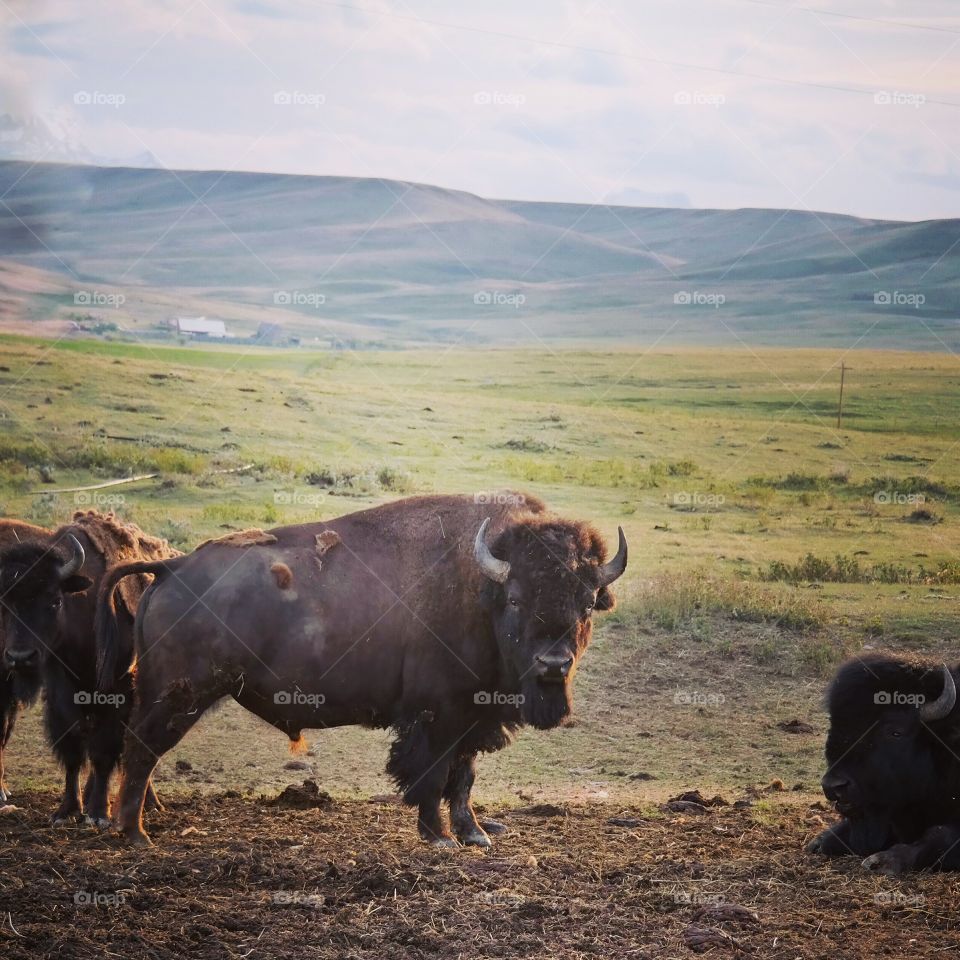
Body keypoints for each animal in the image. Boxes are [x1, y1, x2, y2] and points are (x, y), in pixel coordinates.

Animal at [0, 511, 177, 825]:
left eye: (55, 600)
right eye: (4, 602)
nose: (20, 657)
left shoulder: (116, 693)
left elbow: (104, 751)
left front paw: (98, 813)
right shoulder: (61, 694)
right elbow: (72, 749)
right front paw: (67, 809)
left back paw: (149, 803)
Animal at [96, 492, 627, 846]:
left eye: (586, 604)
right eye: (516, 599)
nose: (553, 665)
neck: (480, 589)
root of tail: (173, 567)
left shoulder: (473, 718)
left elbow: (463, 777)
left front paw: (474, 835)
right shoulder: (437, 717)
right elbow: (433, 775)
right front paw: (438, 838)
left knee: (137, 749)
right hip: (177, 696)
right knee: (141, 750)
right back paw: (135, 834)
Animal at [808, 653, 960, 873]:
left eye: (895, 732)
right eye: (833, 725)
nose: (833, 786)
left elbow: (938, 836)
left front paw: (881, 861)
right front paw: (819, 842)